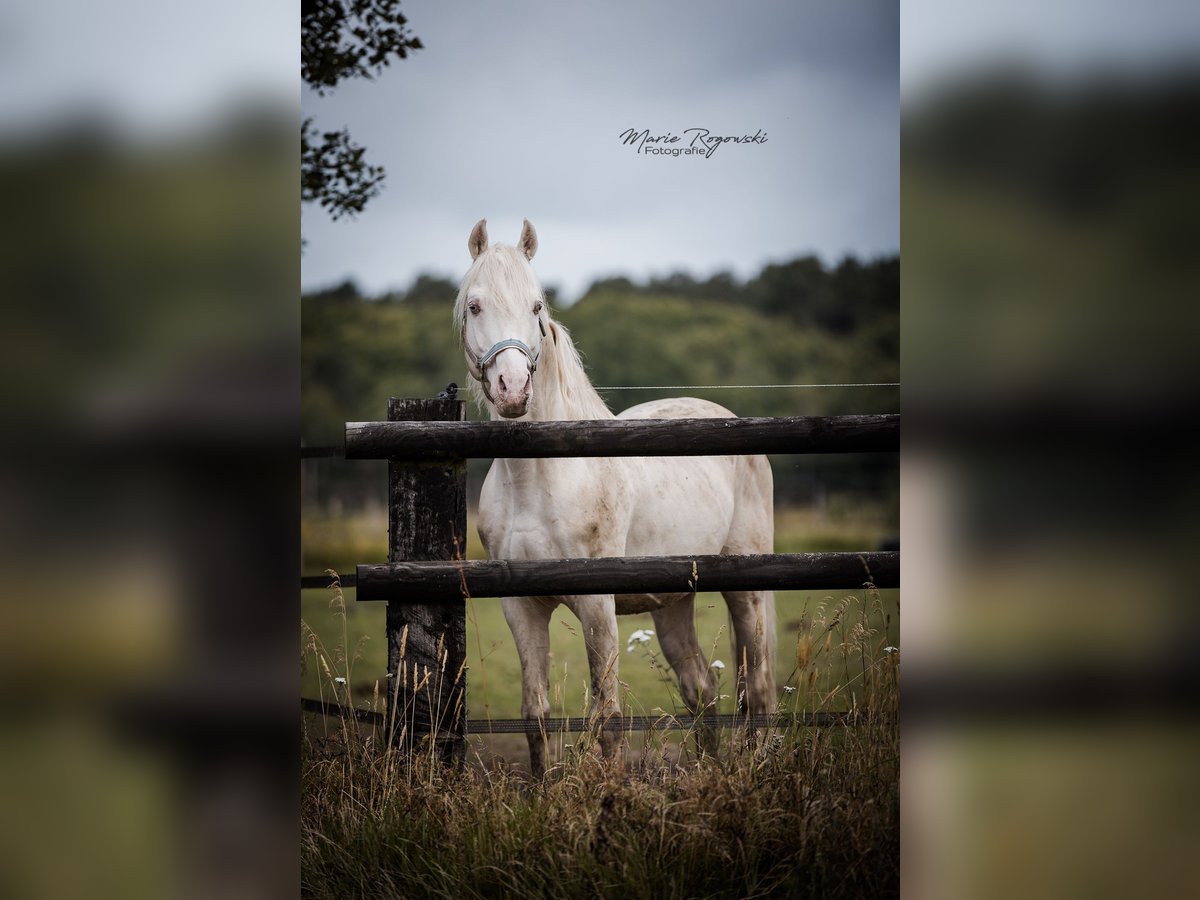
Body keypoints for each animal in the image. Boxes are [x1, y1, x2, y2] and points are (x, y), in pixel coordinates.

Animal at [453, 218, 772, 777]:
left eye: (537, 306)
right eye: (475, 305)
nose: (513, 389)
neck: (543, 478)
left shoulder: (597, 606)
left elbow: (607, 716)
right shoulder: (521, 608)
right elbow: (535, 715)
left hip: (746, 591)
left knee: (754, 689)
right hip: (674, 603)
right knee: (702, 689)